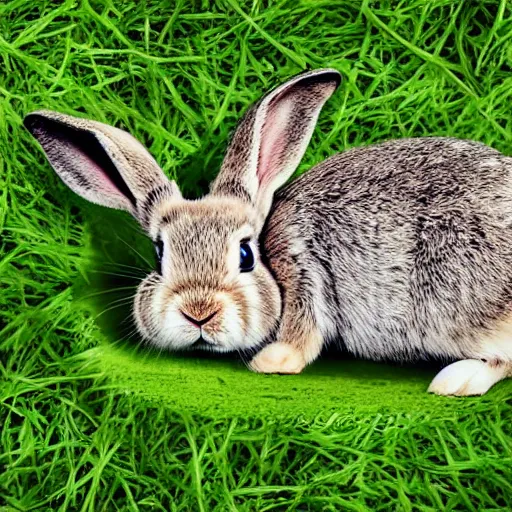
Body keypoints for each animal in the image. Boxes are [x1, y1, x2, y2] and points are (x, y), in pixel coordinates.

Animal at [25, 68, 512, 396]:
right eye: (159, 255)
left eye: (245, 254)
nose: (199, 313)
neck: (272, 257)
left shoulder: (307, 275)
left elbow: (301, 333)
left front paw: (271, 362)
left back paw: (456, 379)